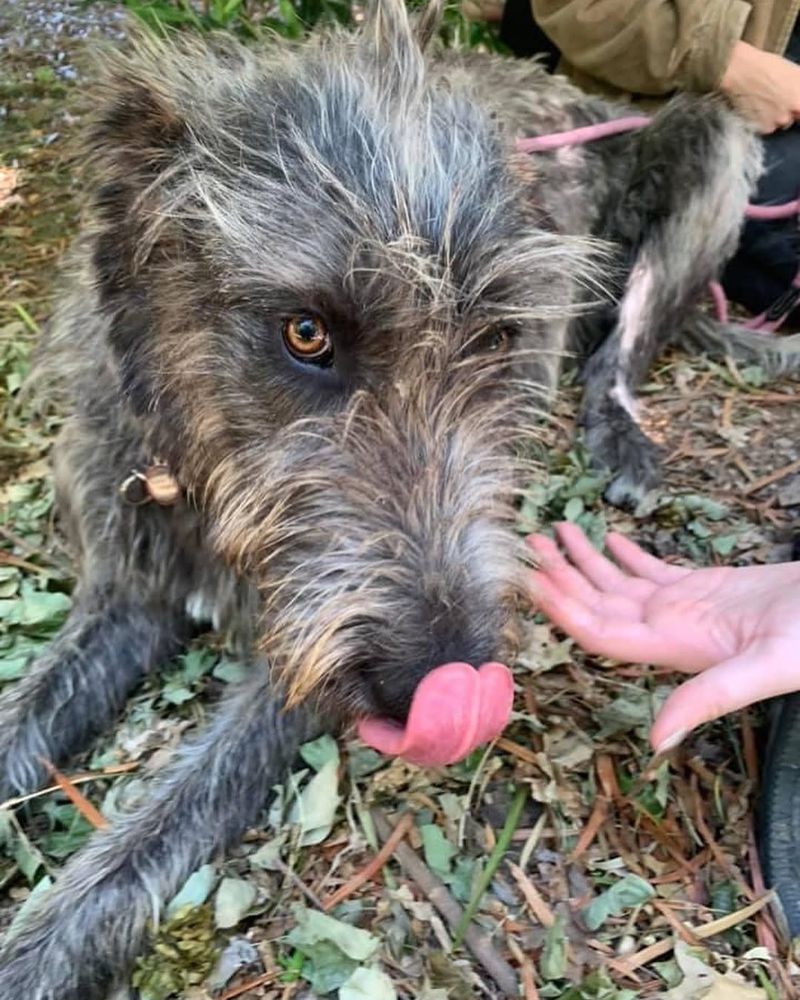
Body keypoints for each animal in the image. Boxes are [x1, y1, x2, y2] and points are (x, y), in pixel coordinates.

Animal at [0, 3, 780, 996]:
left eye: (497, 338)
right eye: (306, 333)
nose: (448, 679)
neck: (202, 477)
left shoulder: (297, 665)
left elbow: (164, 822)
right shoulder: (129, 588)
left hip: (717, 142)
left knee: (629, 338)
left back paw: (620, 434)